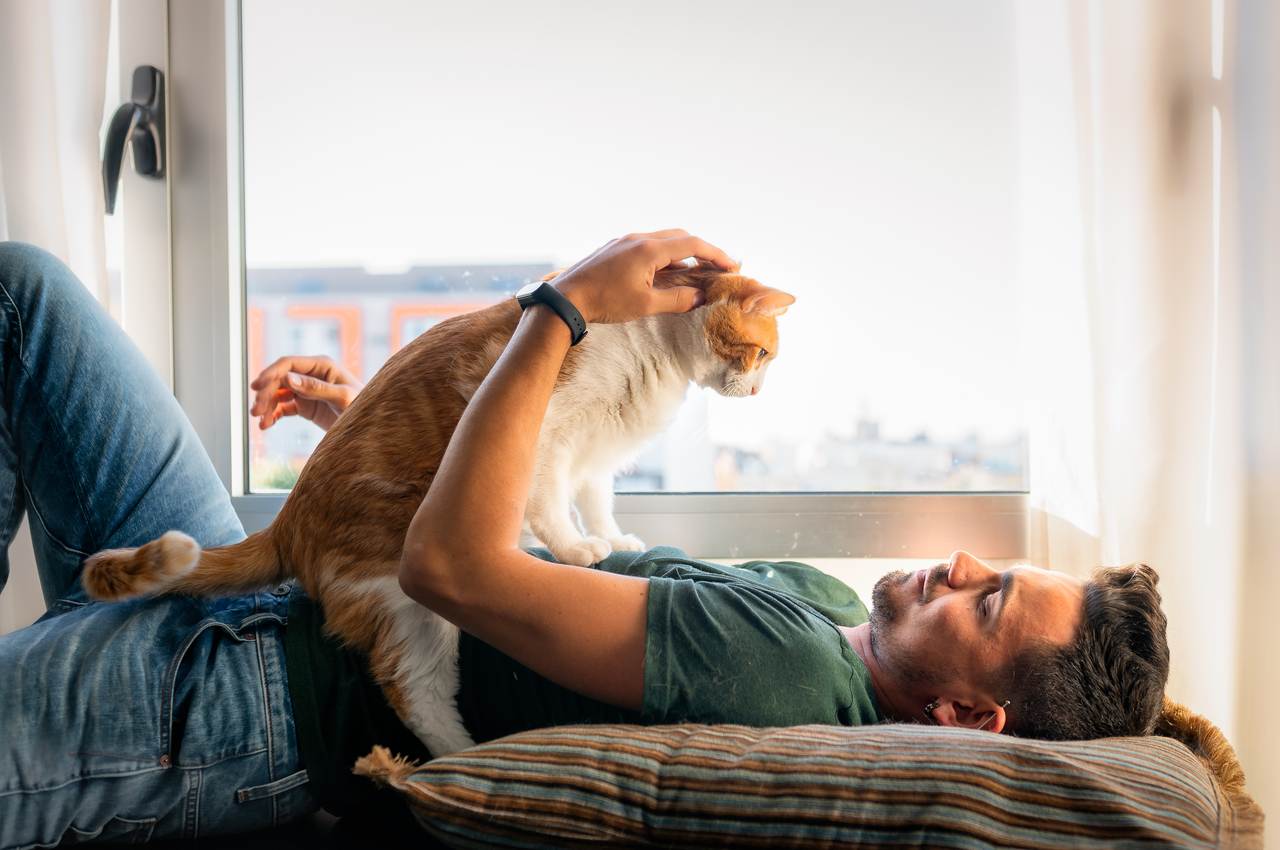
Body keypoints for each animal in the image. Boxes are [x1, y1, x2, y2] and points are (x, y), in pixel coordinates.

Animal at [82, 263, 788, 757]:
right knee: (410, 691)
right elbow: (553, 504)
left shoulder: (593, 457)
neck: (656, 352)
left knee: (414, 692)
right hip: (406, 600)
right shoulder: (553, 436)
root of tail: (289, 519)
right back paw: (460, 759)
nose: (759, 392)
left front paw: (613, 540)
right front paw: (574, 550)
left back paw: (458, 759)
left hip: (418, 618)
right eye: (762, 354)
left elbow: (595, 502)